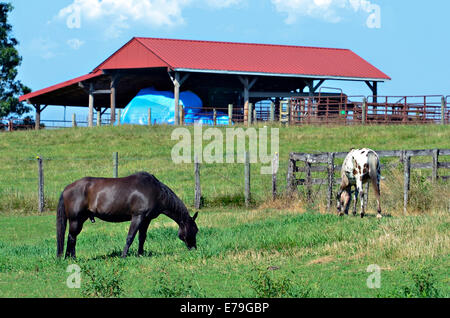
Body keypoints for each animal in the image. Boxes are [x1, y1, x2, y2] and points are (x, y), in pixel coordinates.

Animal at [56, 171, 197, 258]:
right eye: (194, 230)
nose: (194, 249)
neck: (155, 191)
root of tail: (67, 188)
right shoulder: (137, 217)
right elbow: (130, 237)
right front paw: (124, 256)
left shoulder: (146, 220)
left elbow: (142, 237)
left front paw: (140, 254)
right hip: (75, 220)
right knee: (72, 238)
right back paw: (71, 258)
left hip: (80, 219)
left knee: (72, 238)